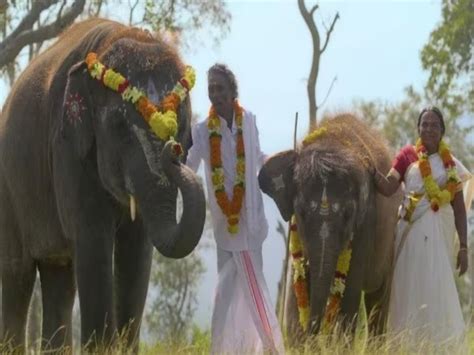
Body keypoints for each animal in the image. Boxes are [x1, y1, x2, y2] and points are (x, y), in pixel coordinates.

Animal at [0, 18, 206, 352]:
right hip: (8, 187)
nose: (171, 148)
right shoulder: (67, 147)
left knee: (59, 273)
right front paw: (101, 349)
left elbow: (137, 248)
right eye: (119, 127)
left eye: (182, 125)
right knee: (17, 271)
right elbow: (93, 240)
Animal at [260, 114, 400, 344]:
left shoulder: (367, 221)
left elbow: (351, 287)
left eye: (348, 215)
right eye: (301, 212)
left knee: (378, 298)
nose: (314, 336)